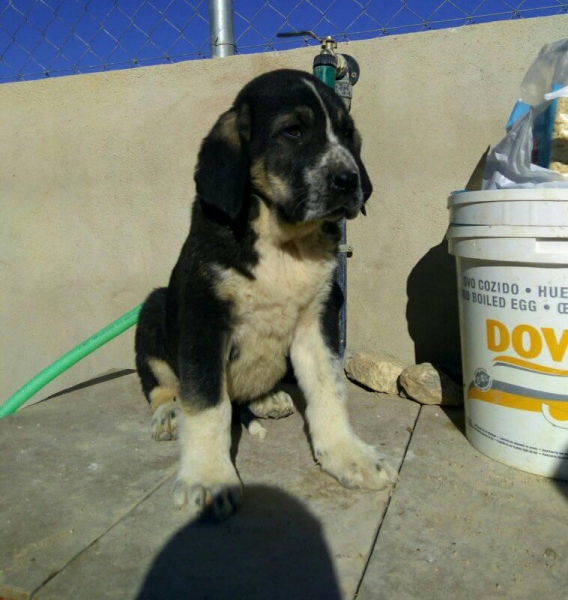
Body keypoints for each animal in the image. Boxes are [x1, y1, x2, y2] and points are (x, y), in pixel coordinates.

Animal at [135, 69, 398, 520]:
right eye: (293, 131)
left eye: (347, 133)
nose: (349, 181)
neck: (282, 238)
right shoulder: (204, 321)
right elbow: (206, 403)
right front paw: (208, 477)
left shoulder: (319, 319)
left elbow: (330, 391)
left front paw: (348, 455)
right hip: (154, 308)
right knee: (164, 386)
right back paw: (169, 413)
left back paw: (267, 398)